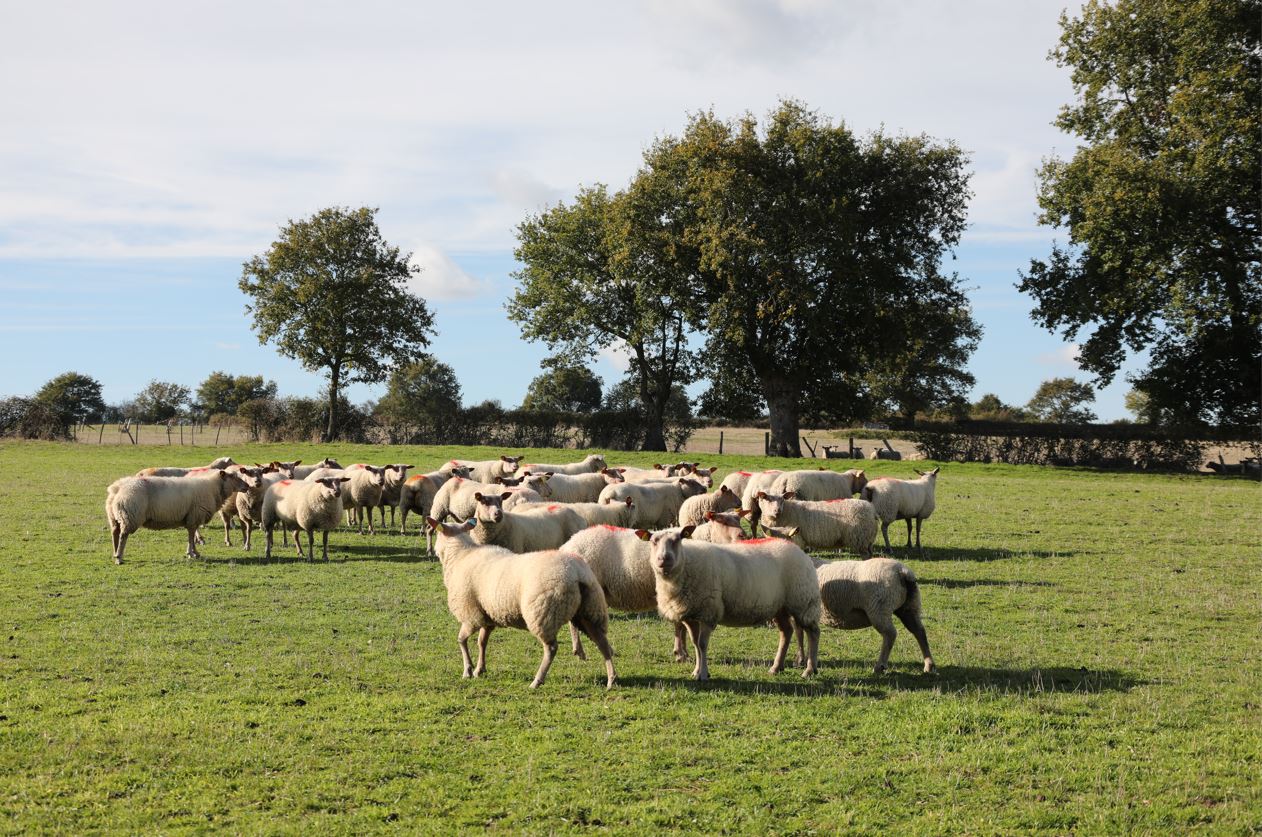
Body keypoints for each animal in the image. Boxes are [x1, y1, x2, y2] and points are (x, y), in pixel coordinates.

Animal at [107, 472, 252, 563]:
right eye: (233, 477)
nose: (248, 486)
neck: (213, 488)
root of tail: (117, 487)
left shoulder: (191, 518)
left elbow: (192, 536)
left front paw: (194, 552)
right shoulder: (194, 516)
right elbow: (191, 536)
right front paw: (191, 553)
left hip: (114, 517)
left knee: (115, 533)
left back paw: (115, 554)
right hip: (130, 516)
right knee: (123, 535)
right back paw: (119, 558)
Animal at [426, 520, 618, 691]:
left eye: (437, 533)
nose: (434, 551)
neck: (460, 556)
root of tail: (578, 573)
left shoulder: (471, 614)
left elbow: (462, 640)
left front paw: (467, 670)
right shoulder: (487, 615)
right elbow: (482, 642)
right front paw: (480, 669)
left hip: (544, 613)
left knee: (551, 648)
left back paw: (537, 681)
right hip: (590, 611)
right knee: (603, 643)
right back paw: (612, 679)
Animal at [641, 527, 827, 686]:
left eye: (677, 539)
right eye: (653, 541)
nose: (664, 559)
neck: (686, 564)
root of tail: (797, 549)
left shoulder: (709, 612)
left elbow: (702, 644)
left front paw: (703, 674)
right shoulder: (691, 614)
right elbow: (695, 644)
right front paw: (696, 671)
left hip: (803, 601)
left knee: (813, 632)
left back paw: (810, 670)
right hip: (780, 606)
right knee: (787, 632)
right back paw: (776, 667)